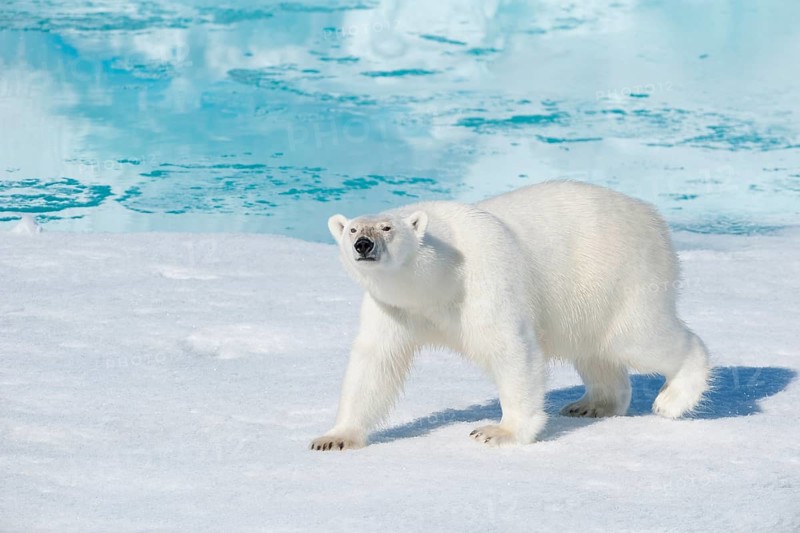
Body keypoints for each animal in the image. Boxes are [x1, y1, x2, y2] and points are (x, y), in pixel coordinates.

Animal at [310, 180, 710, 451]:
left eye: (387, 228)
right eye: (351, 228)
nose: (363, 245)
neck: (439, 277)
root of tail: (652, 216)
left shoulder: (484, 277)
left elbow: (511, 348)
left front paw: (497, 431)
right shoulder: (392, 308)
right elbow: (374, 363)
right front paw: (333, 437)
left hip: (622, 273)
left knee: (638, 338)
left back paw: (674, 398)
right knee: (594, 349)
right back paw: (592, 404)